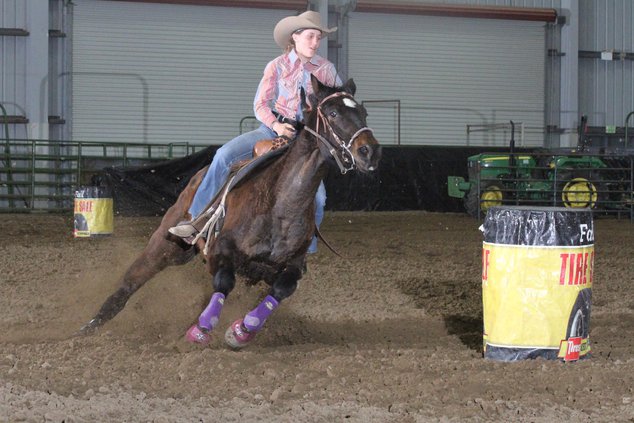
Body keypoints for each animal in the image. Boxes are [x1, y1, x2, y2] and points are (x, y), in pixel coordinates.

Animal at [82, 77, 382, 352]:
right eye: (332, 113)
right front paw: (201, 329)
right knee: (133, 279)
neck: (280, 206)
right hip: (167, 244)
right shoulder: (221, 249)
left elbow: (279, 291)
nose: (370, 151)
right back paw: (90, 326)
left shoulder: (291, 265)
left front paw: (241, 331)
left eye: (363, 113)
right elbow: (224, 283)